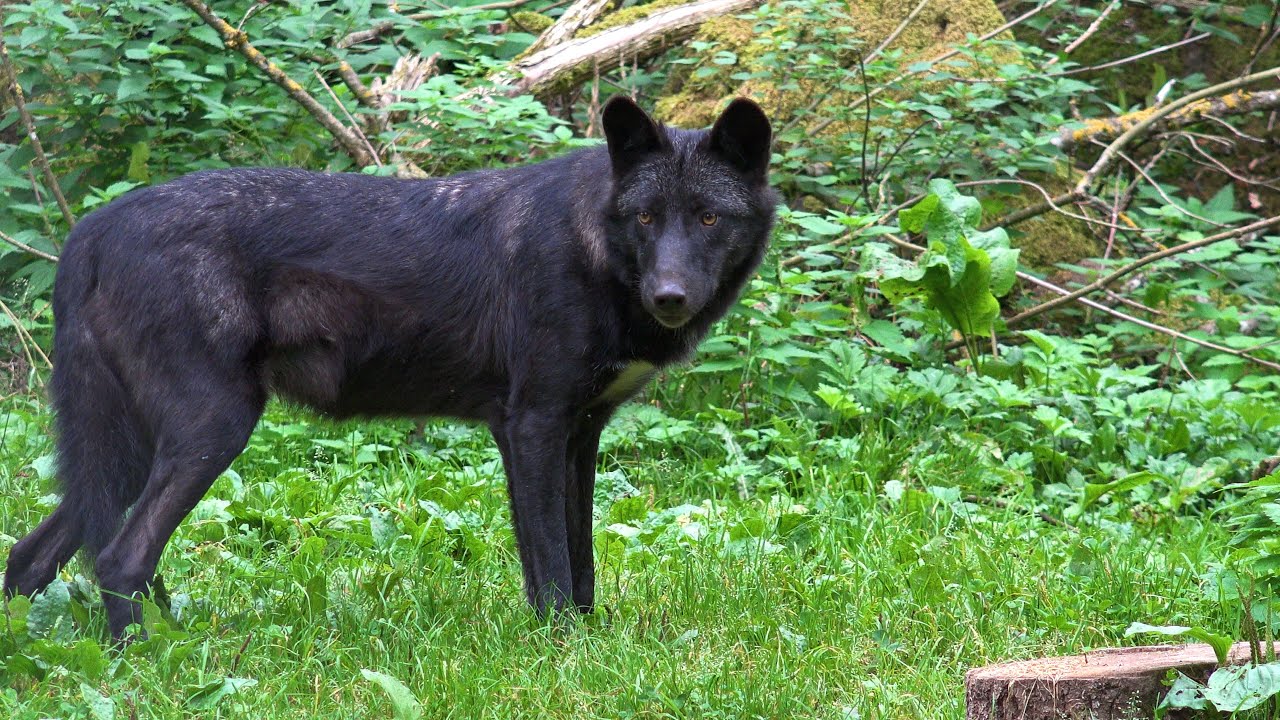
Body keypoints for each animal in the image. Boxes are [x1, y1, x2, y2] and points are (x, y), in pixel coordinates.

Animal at [2, 96, 777, 639]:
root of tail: (92, 229)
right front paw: (563, 651)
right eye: (647, 218)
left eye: (708, 218)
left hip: (128, 453)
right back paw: (145, 663)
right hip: (210, 431)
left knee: (34, 555)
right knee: (119, 559)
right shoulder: (531, 428)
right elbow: (552, 566)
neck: (596, 253)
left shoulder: (578, 435)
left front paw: (585, 640)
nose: (668, 296)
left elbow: (579, 561)